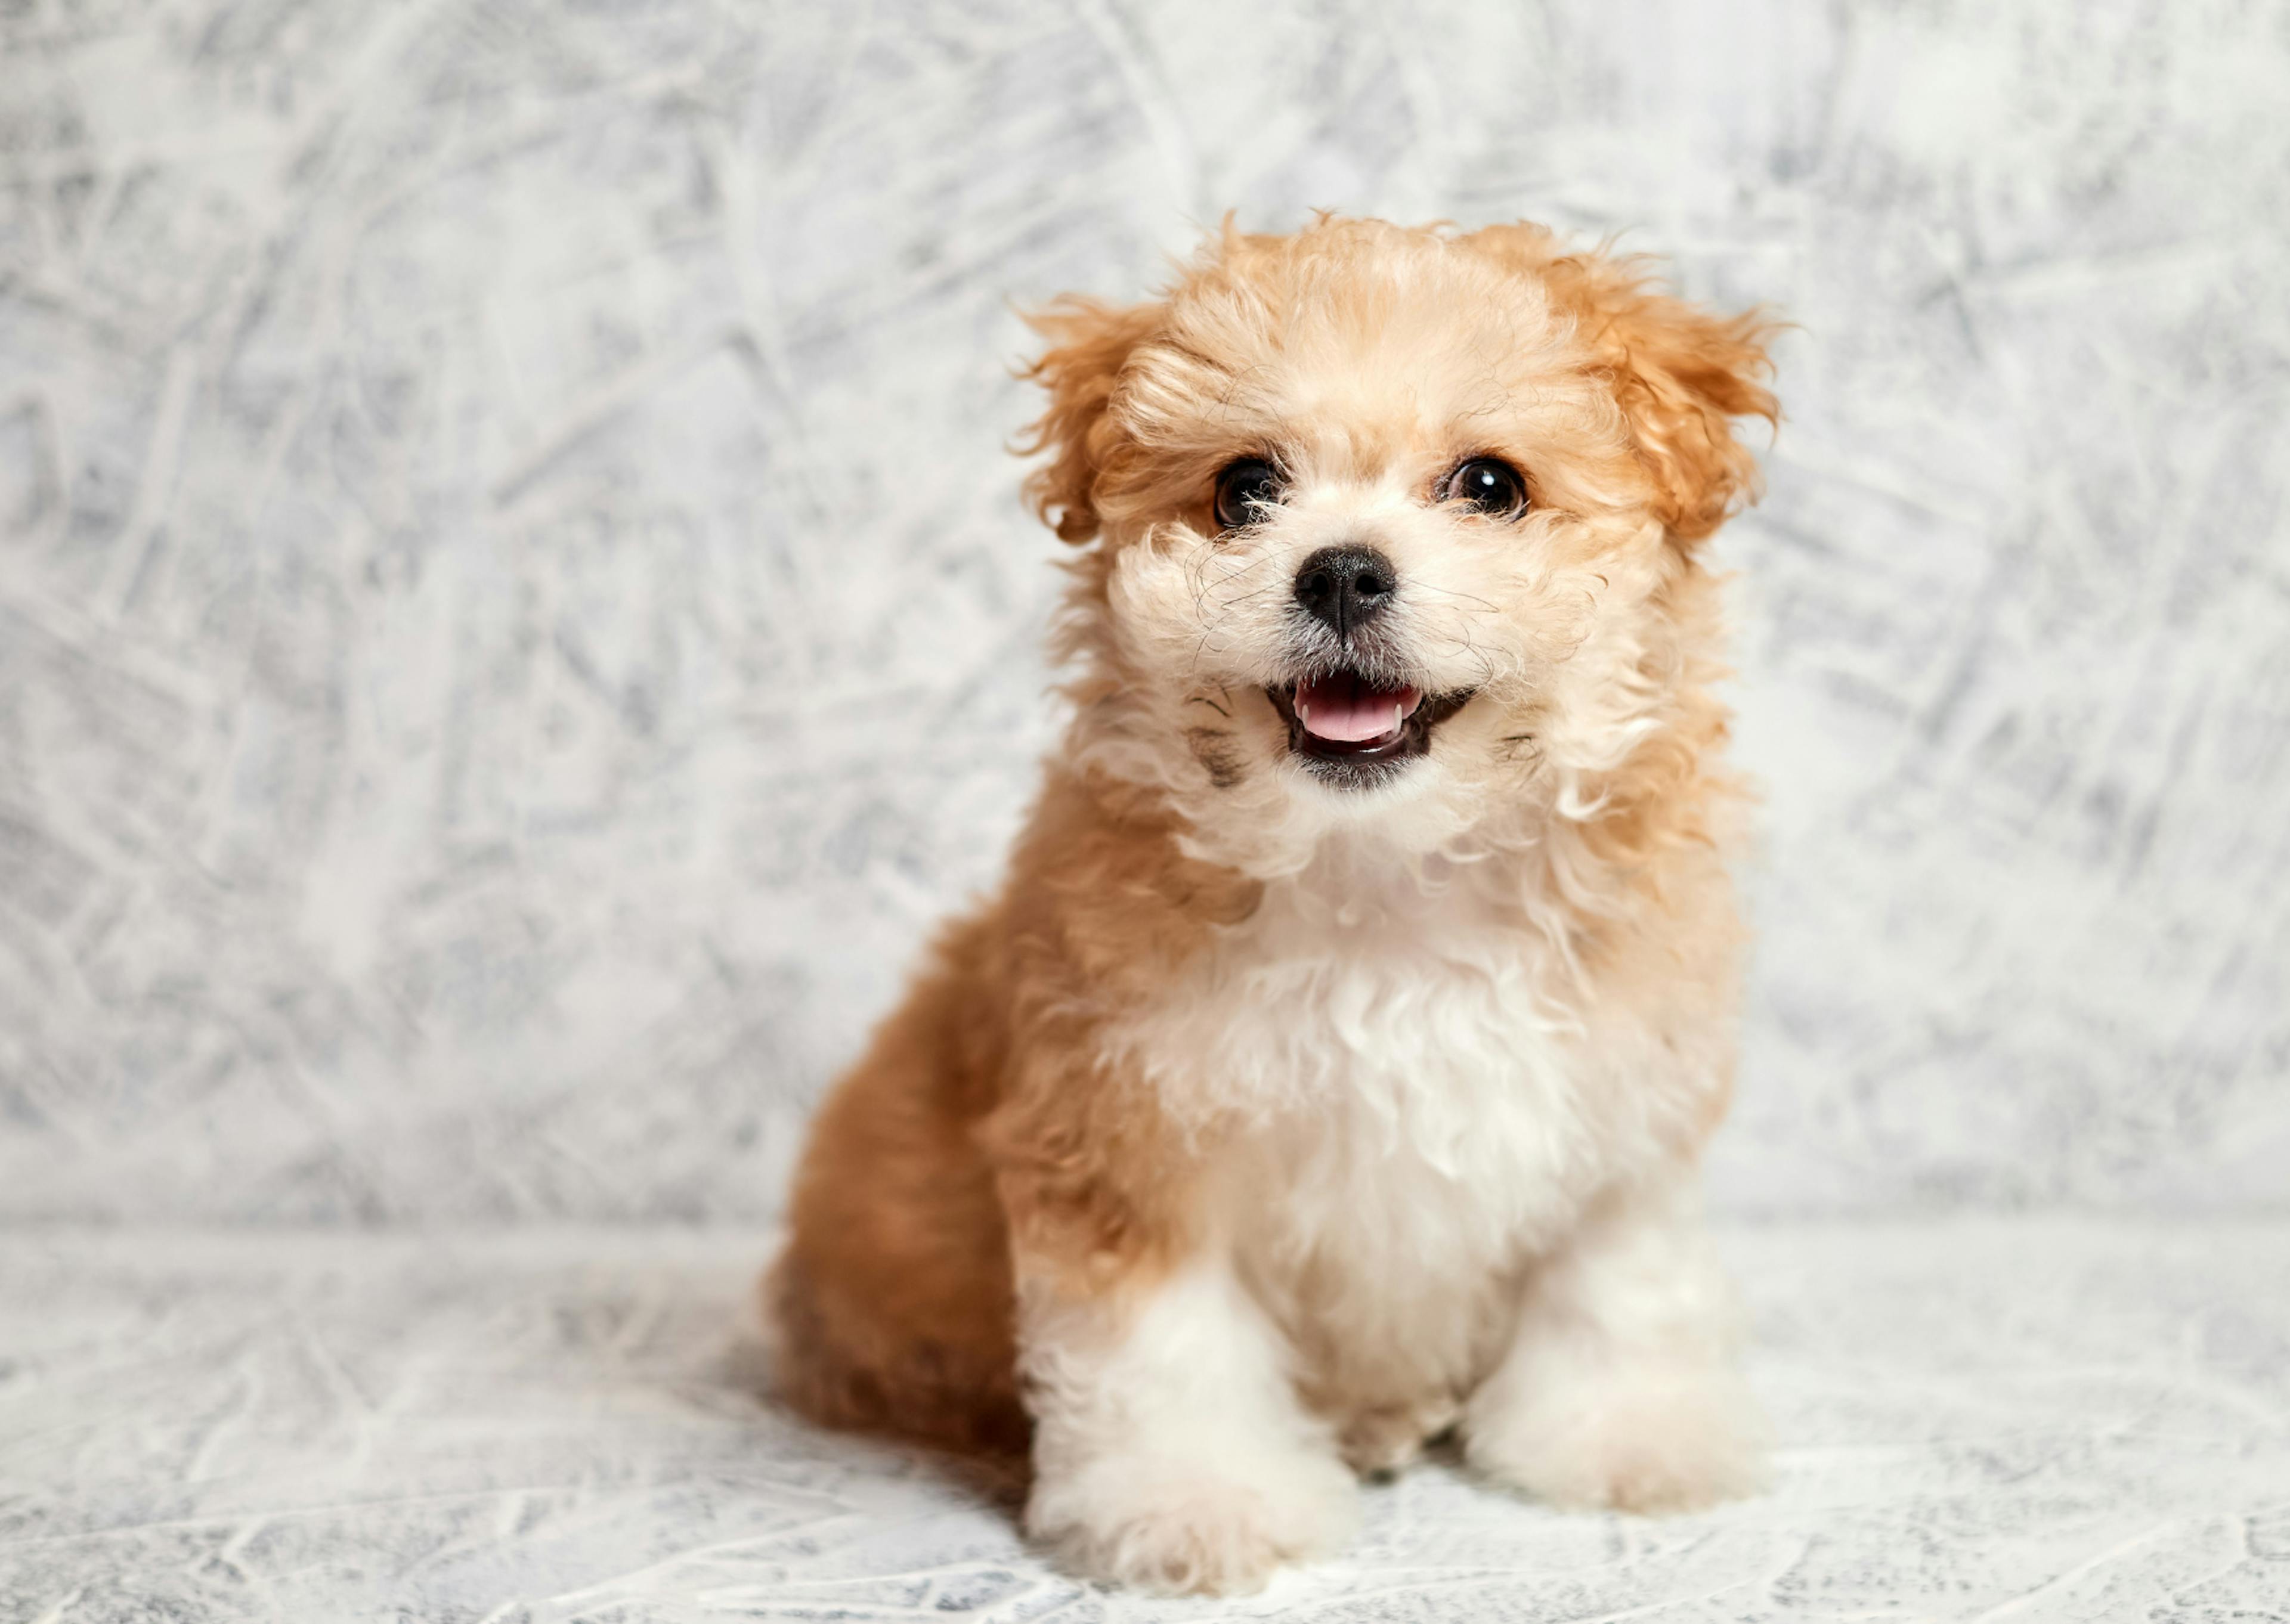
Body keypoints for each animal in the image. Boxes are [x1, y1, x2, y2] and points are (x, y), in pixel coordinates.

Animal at [765, 209, 1768, 1594]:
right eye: (1245, 488)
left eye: (1491, 485)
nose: (1341, 573)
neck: (1381, 872)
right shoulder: (1121, 1135)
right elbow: (1163, 1348)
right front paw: (1191, 1503)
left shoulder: (1624, 1105)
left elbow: (1616, 1282)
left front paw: (1621, 1437)